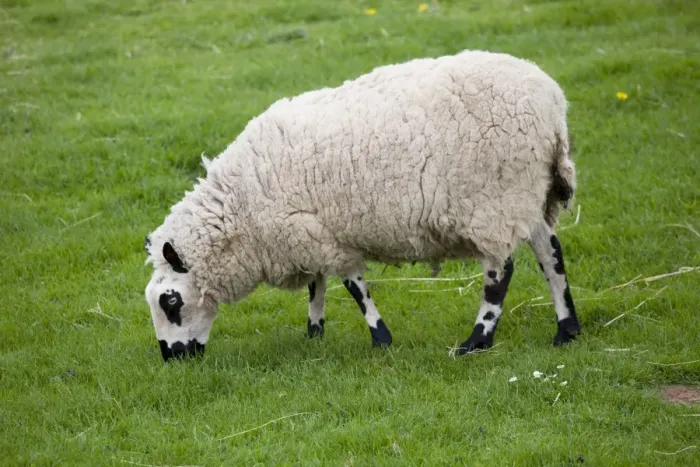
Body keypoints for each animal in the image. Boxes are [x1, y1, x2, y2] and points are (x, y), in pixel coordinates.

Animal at [144, 49, 581, 362]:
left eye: (171, 301)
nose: (172, 358)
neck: (240, 208)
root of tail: (552, 104)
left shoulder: (326, 239)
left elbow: (353, 287)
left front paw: (380, 338)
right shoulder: (308, 231)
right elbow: (317, 285)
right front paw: (314, 332)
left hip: (494, 201)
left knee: (500, 272)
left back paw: (477, 341)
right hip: (527, 194)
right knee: (551, 254)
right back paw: (566, 330)